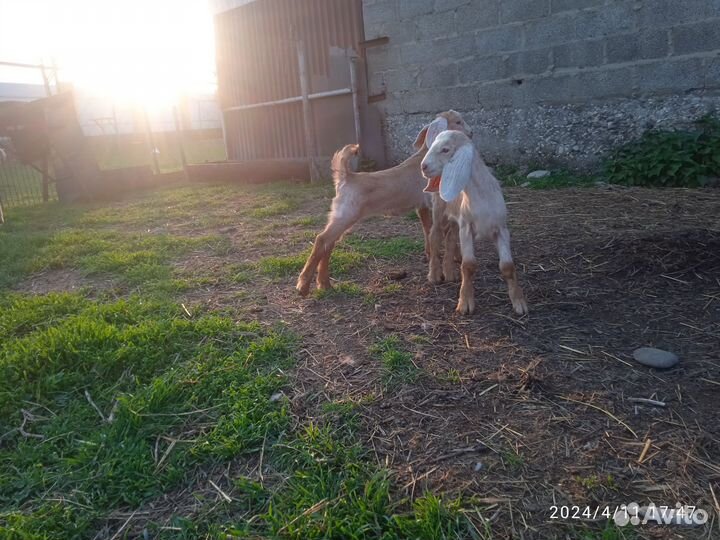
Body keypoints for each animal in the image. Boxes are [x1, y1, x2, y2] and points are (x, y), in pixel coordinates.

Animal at [296, 111, 472, 297]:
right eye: (458, 122)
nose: (471, 133)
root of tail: (346, 176)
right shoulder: (437, 203)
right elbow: (446, 232)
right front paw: (452, 262)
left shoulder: (422, 206)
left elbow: (428, 229)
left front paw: (431, 255)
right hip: (346, 214)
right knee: (322, 240)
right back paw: (303, 285)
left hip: (339, 215)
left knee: (329, 243)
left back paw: (324, 283)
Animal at [421, 130, 528, 316]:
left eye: (445, 149)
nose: (423, 166)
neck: (481, 197)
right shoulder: (466, 228)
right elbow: (468, 265)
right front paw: (465, 302)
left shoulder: (501, 229)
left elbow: (508, 266)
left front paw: (519, 302)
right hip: (439, 211)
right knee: (435, 236)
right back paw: (434, 274)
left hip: (456, 220)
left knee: (450, 238)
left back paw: (449, 272)